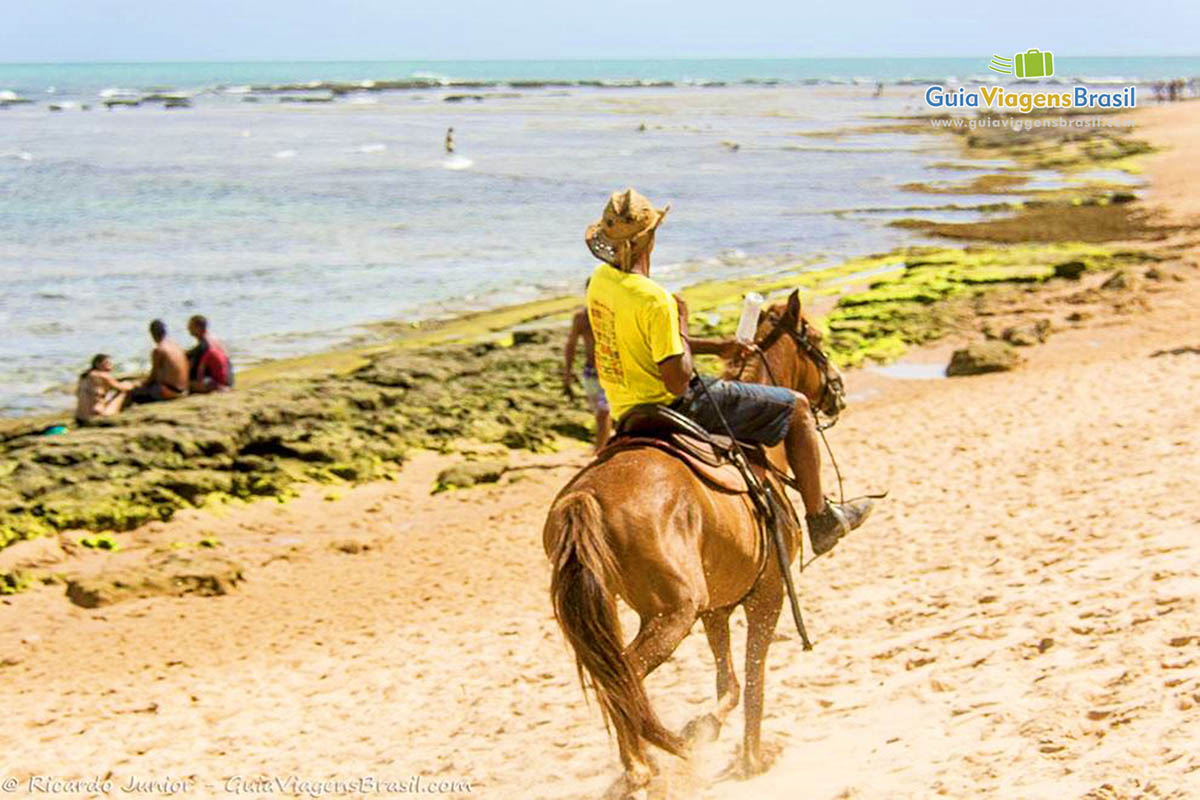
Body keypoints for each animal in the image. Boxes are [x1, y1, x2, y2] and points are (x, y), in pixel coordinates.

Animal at [544, 291, 844, 796]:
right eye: (816, 339)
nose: (838, 388)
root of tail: (586, 497)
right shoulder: (767, 594)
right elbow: (754, 681)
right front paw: (752, 757)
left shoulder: (715, 608)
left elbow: (730, 685)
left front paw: (704, 726)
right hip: (672, 613)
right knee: (624, 678)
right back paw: (643, 766)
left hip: (615, 608)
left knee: (615, 680)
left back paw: (642, 764)